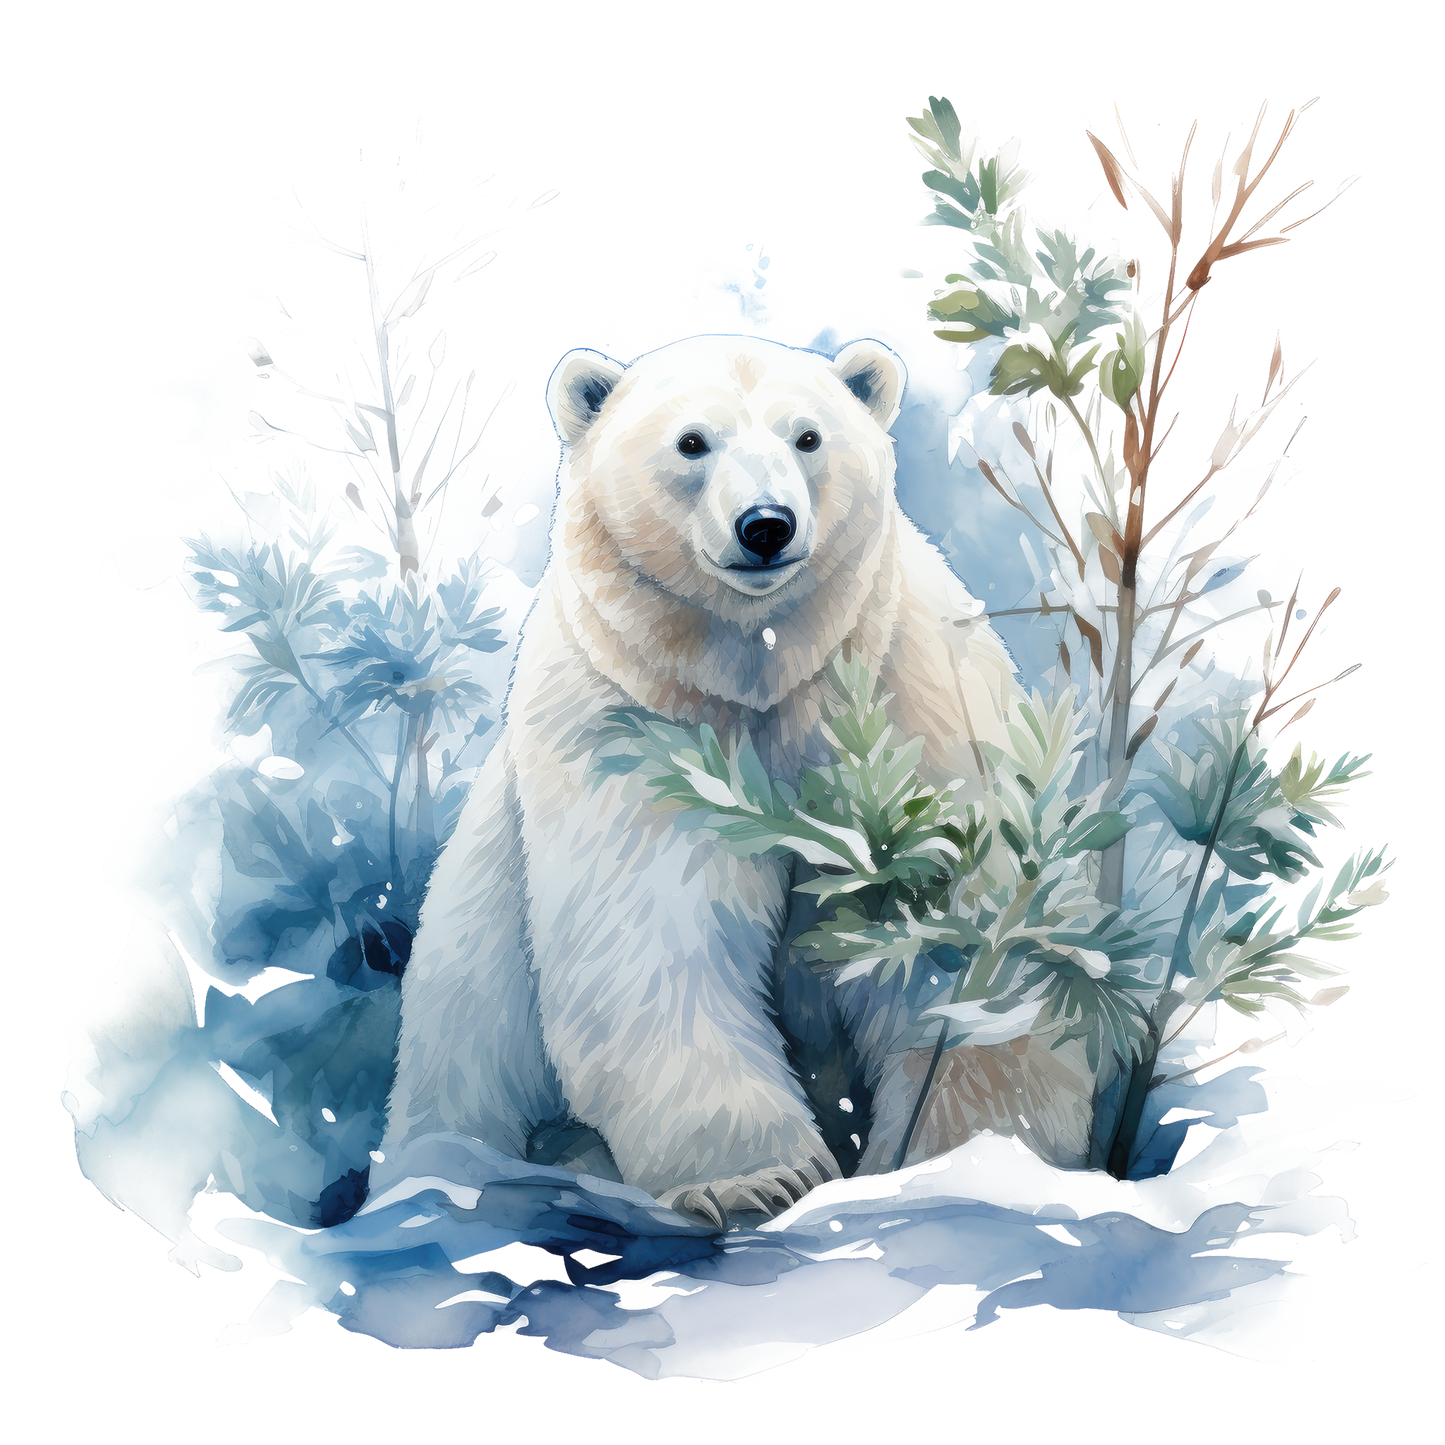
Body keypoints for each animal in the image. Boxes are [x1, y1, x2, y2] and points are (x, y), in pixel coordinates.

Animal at [375, 333, 1024, 1225]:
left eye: (807, 437)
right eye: (692, 443)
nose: (766, 525)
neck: (760, 665)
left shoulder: (906, 698)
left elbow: (950, 937)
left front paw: (964, 1157)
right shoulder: (634, 721)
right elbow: (656, 929)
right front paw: (758, 1177)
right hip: (465, 1015)